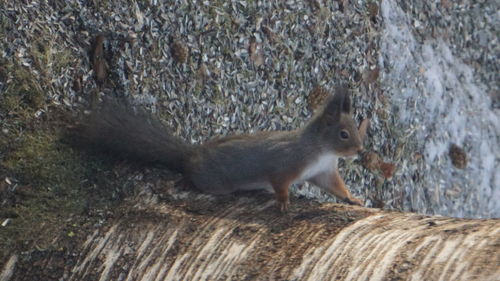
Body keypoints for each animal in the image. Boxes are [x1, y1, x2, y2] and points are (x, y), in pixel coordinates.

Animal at [75, 85, 372, 210]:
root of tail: (191, 155)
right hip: (213, 182)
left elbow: (336, 188)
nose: (360, 151)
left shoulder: (323, 172)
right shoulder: (287, 162)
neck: (322, 151)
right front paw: (284, 201)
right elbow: (279, 181)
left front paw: (353, 198)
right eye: (344, 134)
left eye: (357, 129)